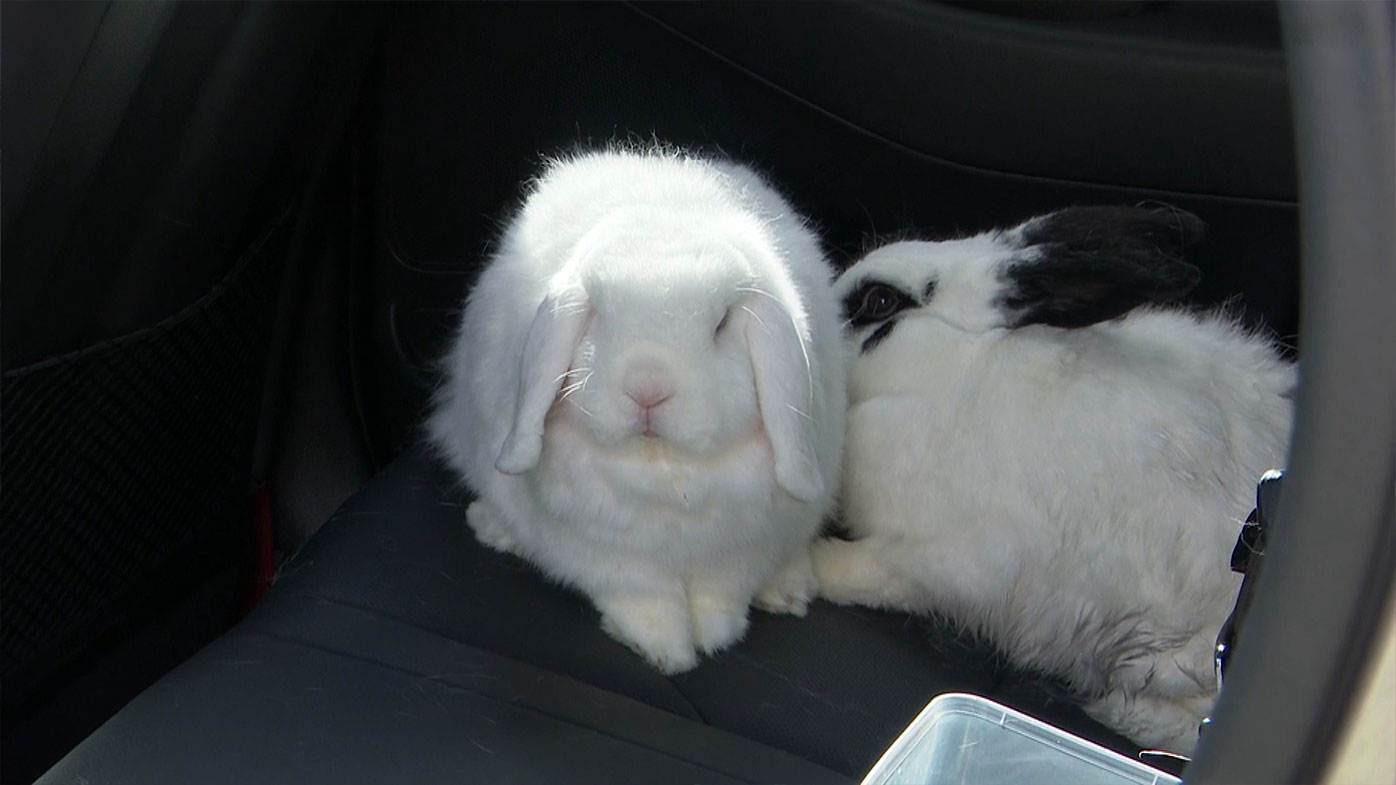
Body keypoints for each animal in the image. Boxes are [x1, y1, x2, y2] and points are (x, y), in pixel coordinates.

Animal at [428, 147, 847, 674]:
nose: (647, 388)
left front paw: (716, 637)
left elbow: (720, 595)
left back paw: (791, 591)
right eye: (597, 310)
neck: (663, 472)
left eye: (722, 323)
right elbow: (644, 599)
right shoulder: (608, 555)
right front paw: (665, 652)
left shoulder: (738, 552)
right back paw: (491, 526)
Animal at [811, 205, 1295, 755]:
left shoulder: (938, 564)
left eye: (879, 301)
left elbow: (863, 573)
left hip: (1169, 659)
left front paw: (808, 564)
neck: (961, 368)